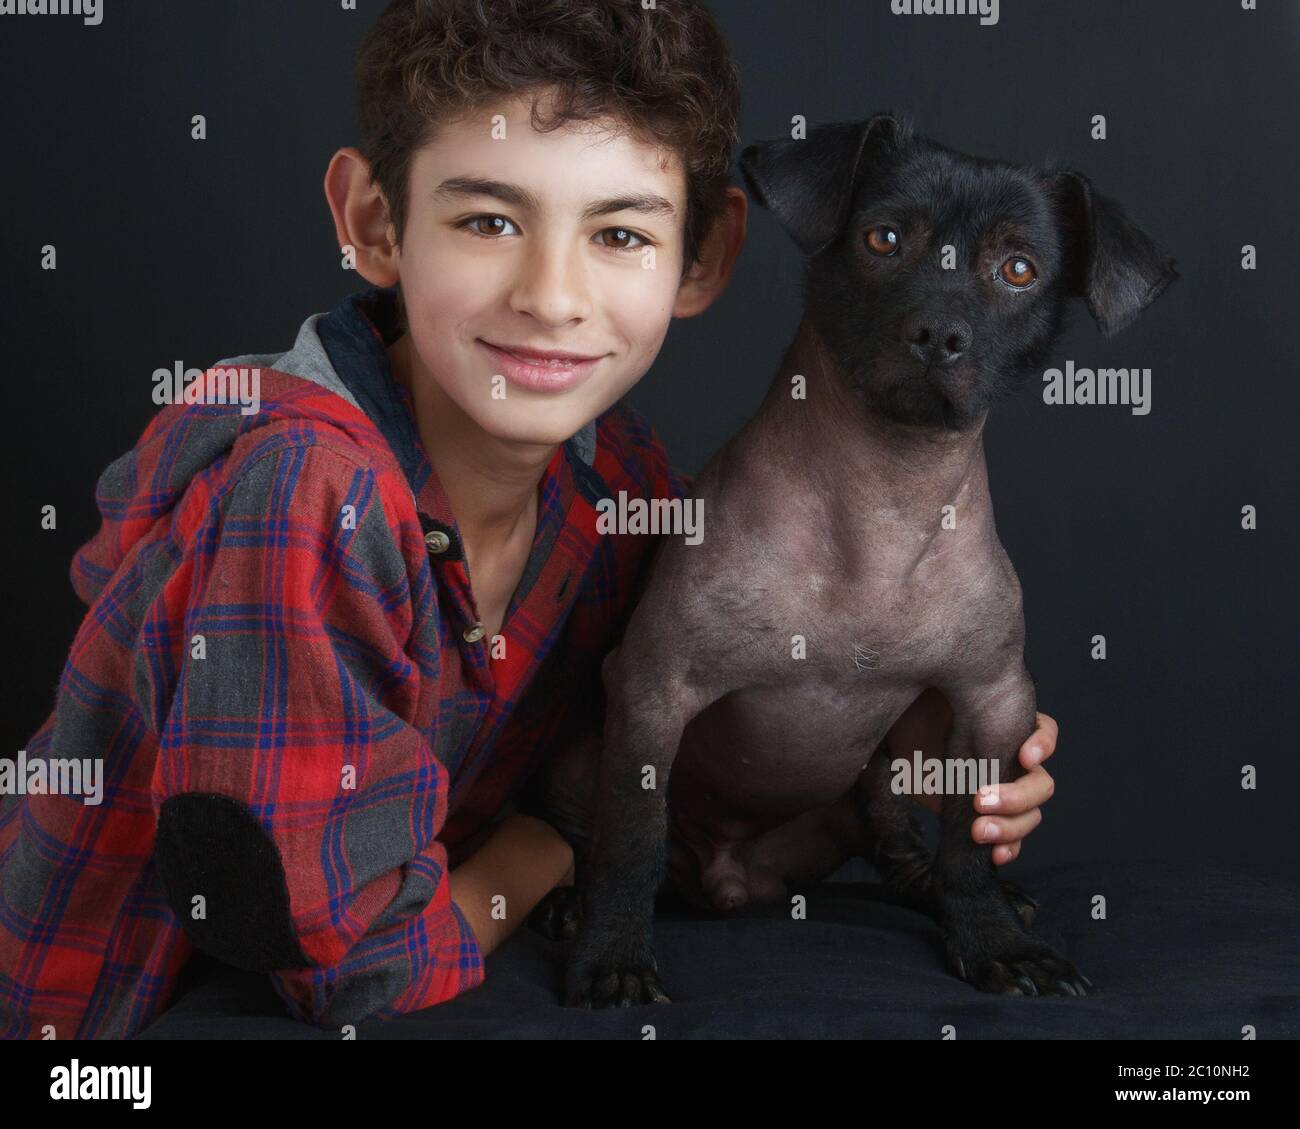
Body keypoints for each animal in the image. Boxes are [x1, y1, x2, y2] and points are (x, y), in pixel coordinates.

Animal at [538, 112, 1180, 1004]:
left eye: (1018, 269)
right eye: (884, 238)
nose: (939, 334)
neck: (880, 504)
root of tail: (730, 878)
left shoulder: (992, 701)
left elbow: (971, 846)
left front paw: (995, 939)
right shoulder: (653, 690)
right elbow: (630, 842)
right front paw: (613, 957)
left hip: (894, 756)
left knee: (897, 838)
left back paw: (934, 885)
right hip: (578, 758)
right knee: (602, 843)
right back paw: (574, 905)